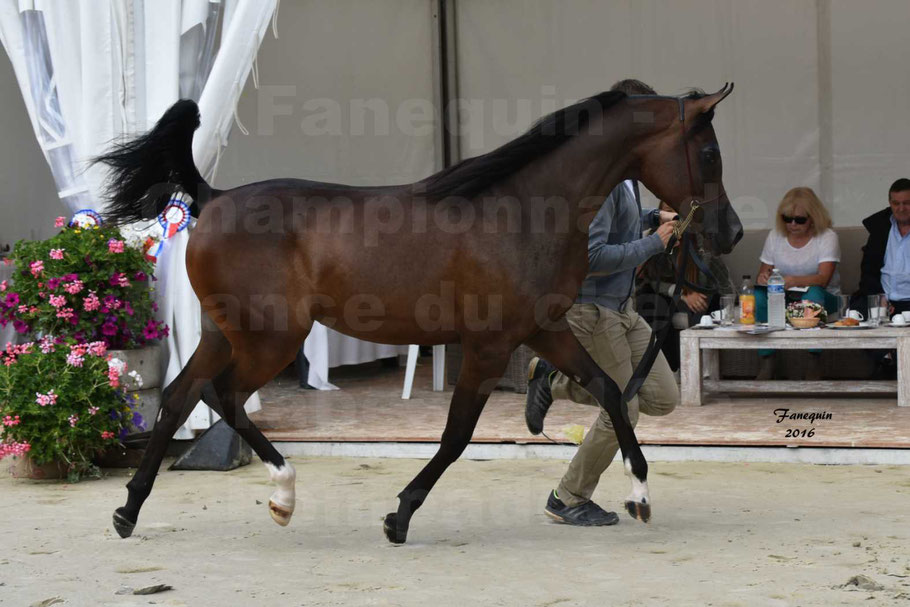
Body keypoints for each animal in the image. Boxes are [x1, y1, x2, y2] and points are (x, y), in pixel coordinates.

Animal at [98, 83, 740, 544]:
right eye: (709, 152)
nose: (728, 232)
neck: (524, 212)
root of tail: (212, 198)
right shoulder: (487, 346)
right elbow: (456, 436)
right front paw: (400, 515)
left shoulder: (543, 330)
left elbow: (608, 389)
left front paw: (641, 496)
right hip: (271, 339)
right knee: (222, 395)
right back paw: (283, 494)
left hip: (223, 335)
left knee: (180, 395)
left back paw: (129, 510)